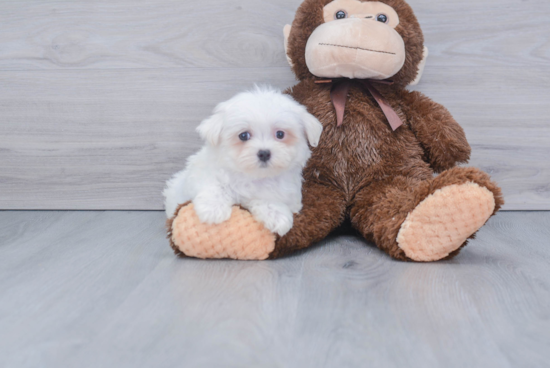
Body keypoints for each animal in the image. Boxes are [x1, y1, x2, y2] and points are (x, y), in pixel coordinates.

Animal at [163, 86, 324, 236]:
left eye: (280, 134)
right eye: (243, 135)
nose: (264, 153)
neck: (254, 177)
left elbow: (268, 199)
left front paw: (277, 216)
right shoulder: (201, 173)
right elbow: (215, 185)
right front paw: (213, 209)